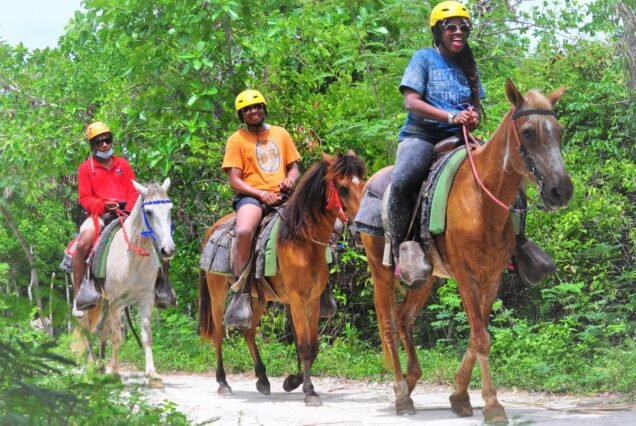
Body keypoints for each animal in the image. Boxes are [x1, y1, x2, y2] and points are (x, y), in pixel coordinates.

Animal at [72, 178, 175, 388]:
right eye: (148, 212)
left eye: (170, 208)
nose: (167, 250)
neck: (133, 257)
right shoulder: (116, 303)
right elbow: (117, 337)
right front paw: (115, 373)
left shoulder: (145, 300)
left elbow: (146, 335)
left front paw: (152, 374)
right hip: (92, 302)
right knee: (87, 328)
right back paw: (93, 366)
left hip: (104, 302)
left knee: (102, 331)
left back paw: (101, 366)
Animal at [199, 152, 366, 405]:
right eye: (343, 188)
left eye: (363, 183)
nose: (359, 231)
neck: (302, 241)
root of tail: (212, 229)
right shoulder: (296, 299)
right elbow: (304, 346)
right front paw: (310, 392)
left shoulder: (312, 299)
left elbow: (312, 346)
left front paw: (293, 381)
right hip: (217, 290)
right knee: (219, 332)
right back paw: (223, 383)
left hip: (258, 297)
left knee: (249, 331)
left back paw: (262, 379)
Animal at [359, 80, 573, 422]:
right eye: (528, 132)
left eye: (559, 130)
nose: (560, 191)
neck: (481, 201)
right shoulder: (465, 275)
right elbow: (481, 338)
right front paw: (492, 406)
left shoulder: (493, 275)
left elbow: (477, 334)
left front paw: (459, 396)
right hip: (381, 269)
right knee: (389, 323)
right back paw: (401, 394)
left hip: (426, 276)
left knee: (405, 318)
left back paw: (411, 381)